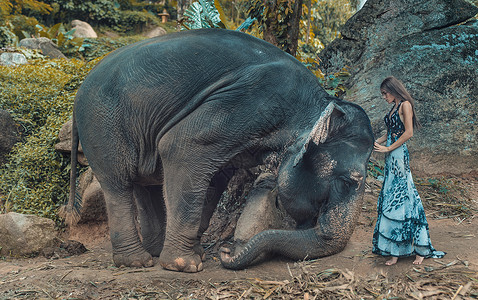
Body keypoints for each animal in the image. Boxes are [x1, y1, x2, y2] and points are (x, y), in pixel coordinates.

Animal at [63, 28, 376, 272]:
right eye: (347, 182)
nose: (227, 251)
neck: (318, 101)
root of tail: (77, 95)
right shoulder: (249, 102)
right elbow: (180, 148)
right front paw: (186, 265)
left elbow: (215, 178)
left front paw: (197, 253)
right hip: (103, 123)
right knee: (119, 183)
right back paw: (136, 262)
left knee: (144, 183)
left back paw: (153, 252)